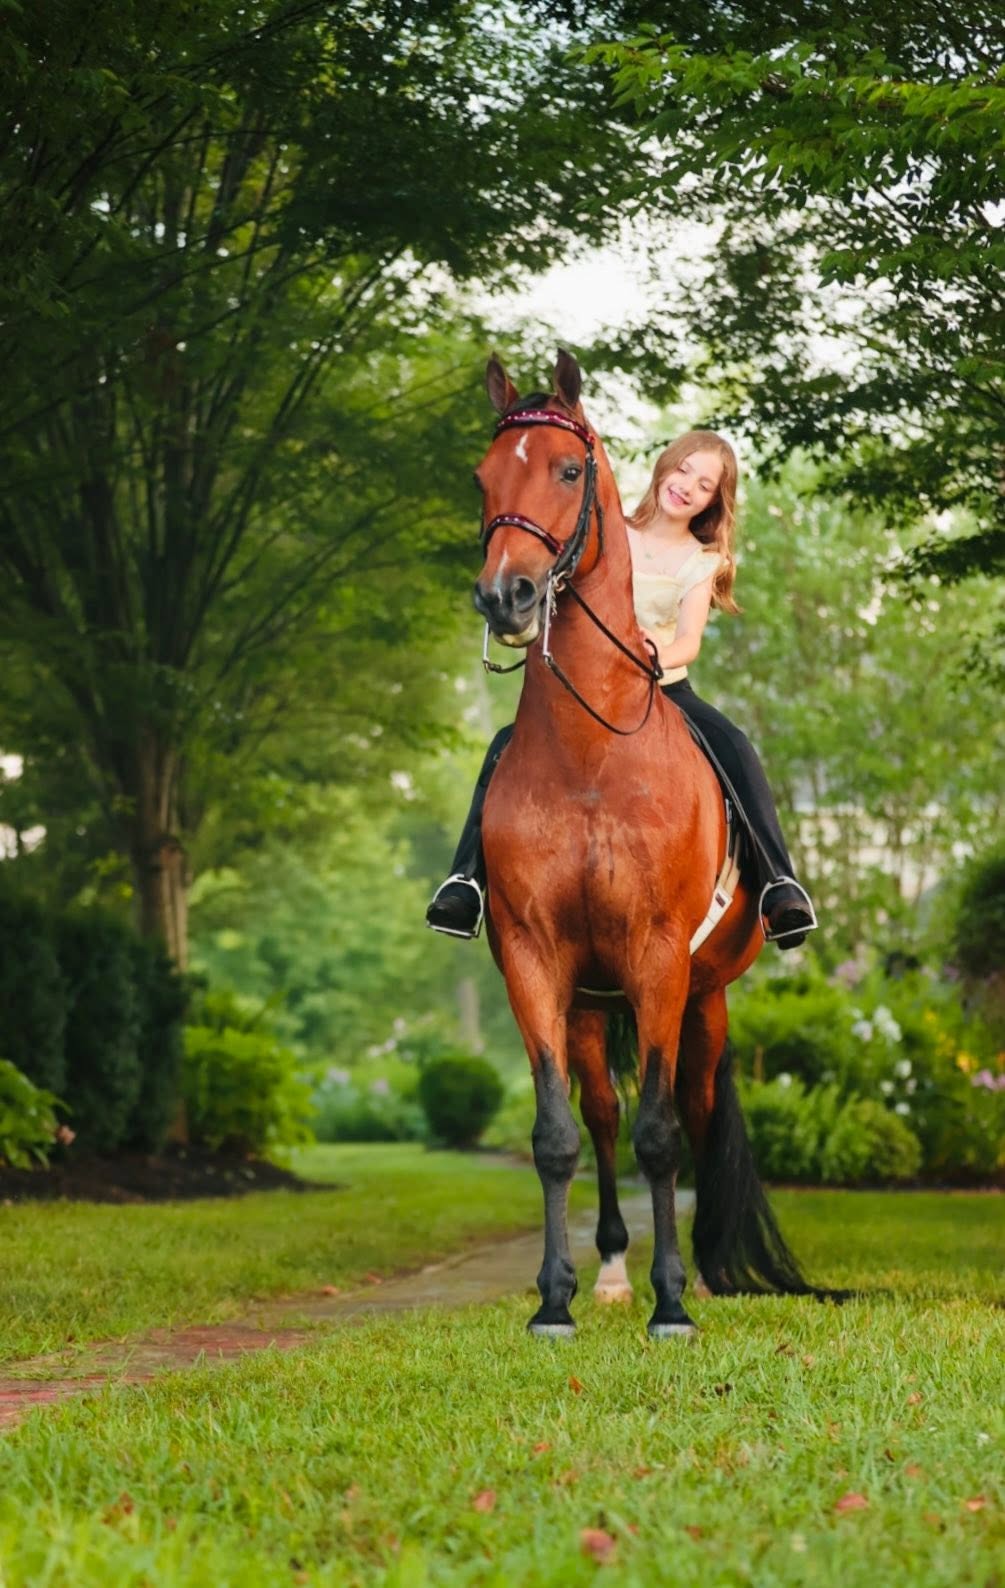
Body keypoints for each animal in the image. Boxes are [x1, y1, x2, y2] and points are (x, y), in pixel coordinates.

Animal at [473, 349, 820, 1337]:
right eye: (482, 477)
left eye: (568, 470)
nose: (505, 596)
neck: (591, 757)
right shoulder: (534, 958)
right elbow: (557, 1134)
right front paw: (555, 1302)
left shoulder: (659, 957)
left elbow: (663, 1135)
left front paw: (673, 1303)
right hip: (594, 1005)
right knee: (598, 1116)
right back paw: (612, 1273)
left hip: (699, 999)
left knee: (692, 1117)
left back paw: (695, 1271)